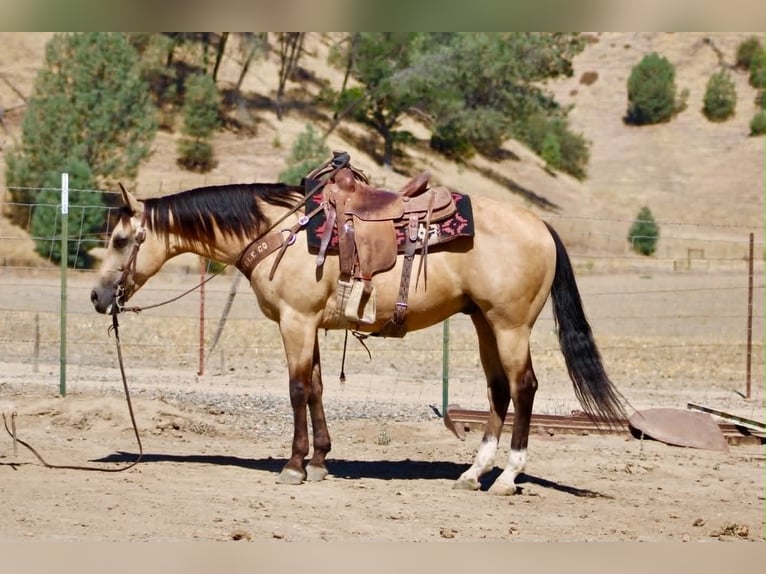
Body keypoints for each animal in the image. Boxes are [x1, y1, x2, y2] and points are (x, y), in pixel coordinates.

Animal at [90, 163, 627, 495]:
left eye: (119, 240)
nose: (97, 297)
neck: (278, 231)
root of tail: (541, 225)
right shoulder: (310, 324)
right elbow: (317, 388)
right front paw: (320, 463)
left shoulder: (296, 321)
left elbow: (297, 389)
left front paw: (294, 466)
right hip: (483, 322)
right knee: (498, 389)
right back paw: (473, 473)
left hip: (510, 324)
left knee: (524, 387)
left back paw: (508, 477)